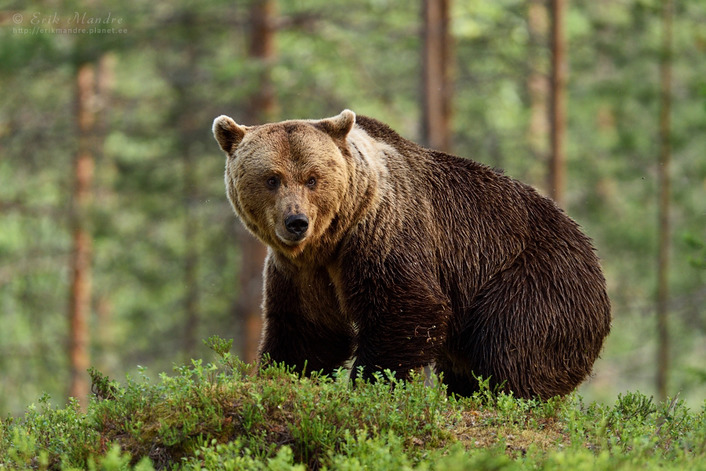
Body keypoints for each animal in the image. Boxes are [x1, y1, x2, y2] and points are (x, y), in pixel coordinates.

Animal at [212, 109, 608, 398]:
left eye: (312, 178)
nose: (297, 222)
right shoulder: (303, 273)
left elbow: (405, 307)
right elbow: (308, 330)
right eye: (272, 178)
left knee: (511, 346)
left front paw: (371, 382)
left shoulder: (384, 236)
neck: (332, 241)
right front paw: (283, 374)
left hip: (535, 280)